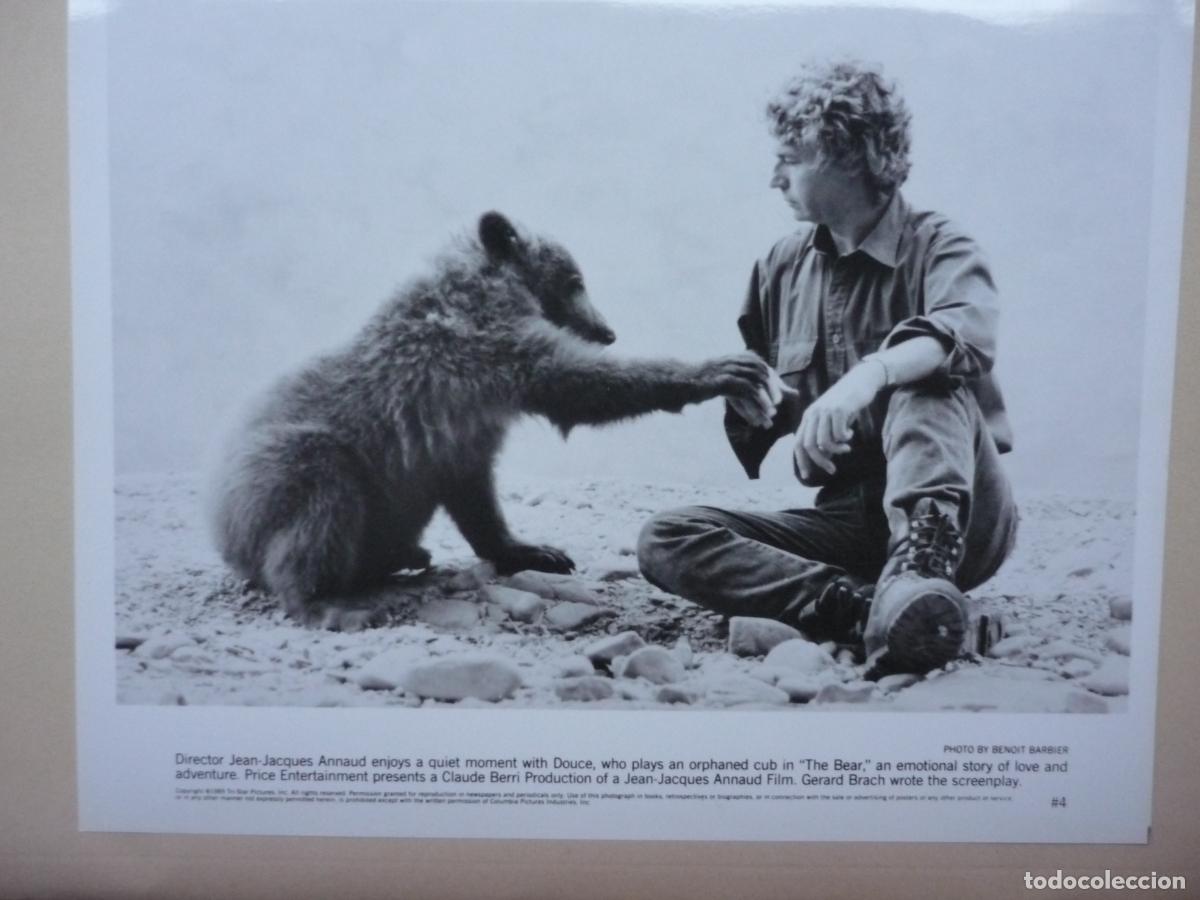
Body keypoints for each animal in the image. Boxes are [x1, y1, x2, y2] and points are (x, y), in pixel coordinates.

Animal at [207, 211, 773, 628]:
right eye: (575, 280)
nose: (607, 331)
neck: (484, 284)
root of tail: (222, 527)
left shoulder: (463, 430)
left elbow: (475, 493)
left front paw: (533, 550)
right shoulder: (481, 349)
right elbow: (576, 383)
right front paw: (721, 370)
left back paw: (404, 555)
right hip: (289, 467)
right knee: (316, 499)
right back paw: (325, 599)